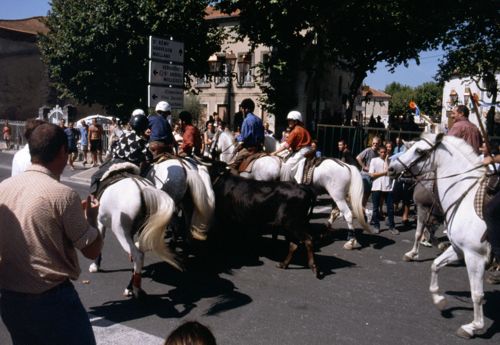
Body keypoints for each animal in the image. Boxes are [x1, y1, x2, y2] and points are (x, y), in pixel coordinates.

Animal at [388, 133, 490, 338]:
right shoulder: (459, 249)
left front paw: (473, 326)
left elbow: (477, 294)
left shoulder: (474, 256)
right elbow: (435, 264)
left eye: (419, 150)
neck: (465, 198)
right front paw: (439, 299)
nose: (391, 168)